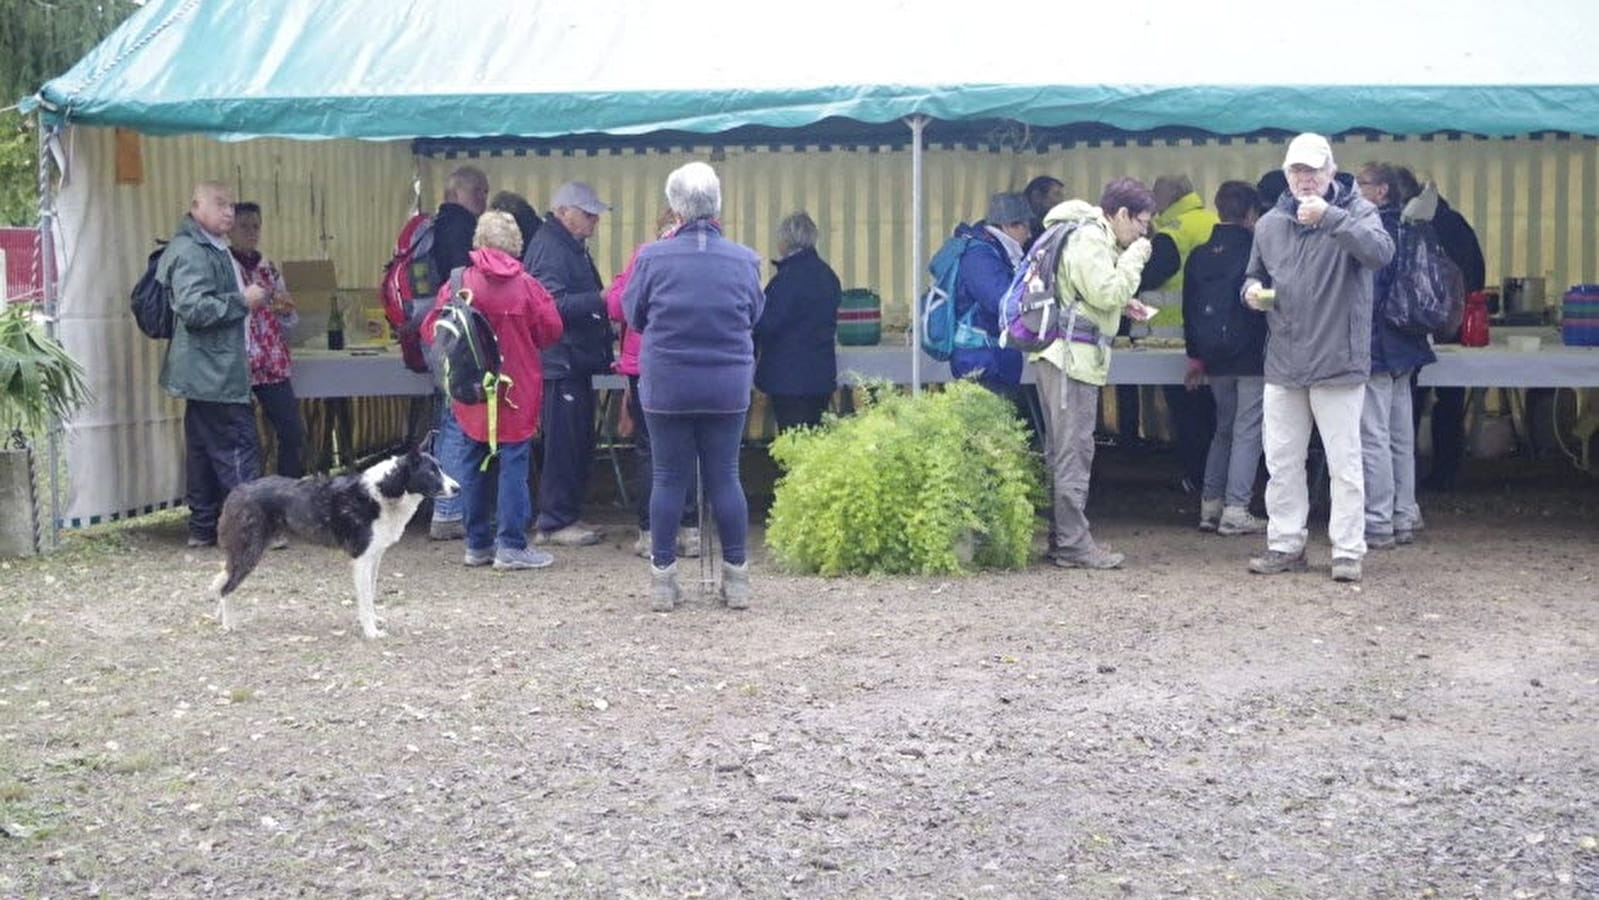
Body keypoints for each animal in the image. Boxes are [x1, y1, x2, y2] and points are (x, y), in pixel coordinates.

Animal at [209, 438, 460, 639]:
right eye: (431, 472)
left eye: (441, 469)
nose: (458, 488)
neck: (386, 490)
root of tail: (237, 491)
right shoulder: (362, 560)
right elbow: (365, 600)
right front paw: (371, 632)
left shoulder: (375, 557)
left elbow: (371, 593)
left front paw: (374, 621)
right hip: (249, 553)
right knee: (226, 588)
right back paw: (228, 624)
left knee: (223, 581)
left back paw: (220, 616)